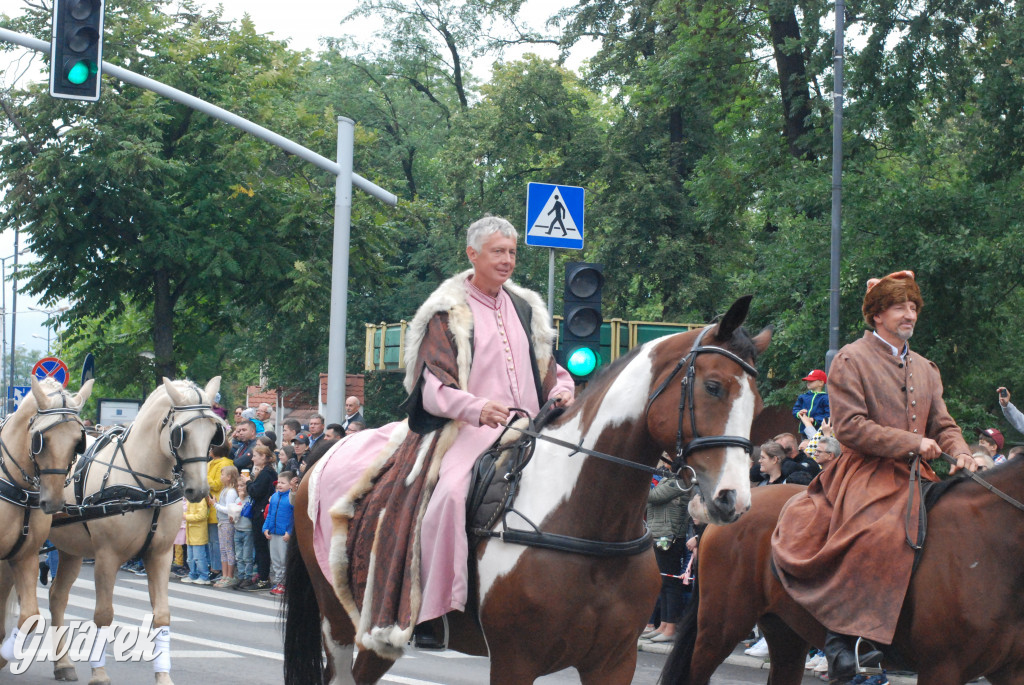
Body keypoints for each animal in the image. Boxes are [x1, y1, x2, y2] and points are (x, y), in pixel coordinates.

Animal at [0, 374, 92, 667]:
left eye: (77, 442)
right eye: (42, 439)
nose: (53, 502)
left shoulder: (24, 556)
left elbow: (31, 616)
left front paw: (4, 654)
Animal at [41, 376, 224, 679]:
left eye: (213, 433)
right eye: (181, 434)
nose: (198, 490)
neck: (145, 487)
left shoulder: (159, 556)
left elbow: (162, 615)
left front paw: (163, 677)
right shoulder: (106, 557)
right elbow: (104, 615)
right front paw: (99, 675)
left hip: (71, 549)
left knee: (57, 597)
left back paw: (63, 664)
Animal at [284, 294, 770, 683]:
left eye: (759, 402)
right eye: (713, 386)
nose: (733, 499)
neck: (589, 522)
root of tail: (321, 457)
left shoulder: (613, 662)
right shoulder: (515, 660)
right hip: (342, 624)